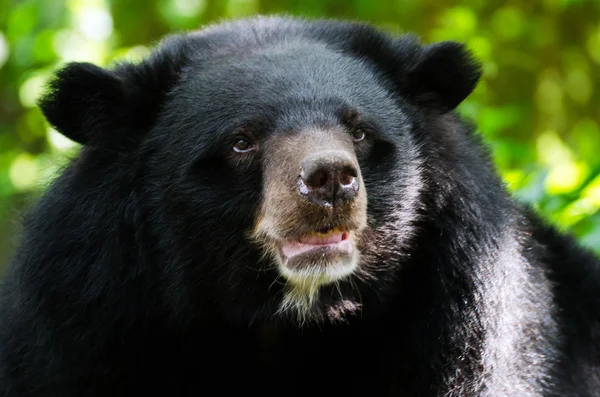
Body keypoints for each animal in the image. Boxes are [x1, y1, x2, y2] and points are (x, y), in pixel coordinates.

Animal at [1, 13, 600, 394]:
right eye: (241, 141)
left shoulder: (459, 320)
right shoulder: (87, 316)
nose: (331, 179)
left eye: (359, 132)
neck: (285, 321)